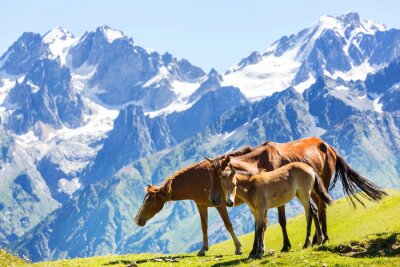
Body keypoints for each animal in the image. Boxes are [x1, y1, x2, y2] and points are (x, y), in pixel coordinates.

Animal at [209, 137, 388, 252]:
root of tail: (329, 147)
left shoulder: (274, 199)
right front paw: (255, 250)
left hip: (319, 186)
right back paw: (318, 239)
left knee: (320, 209)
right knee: (317, 209)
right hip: (311, 191)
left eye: (219, 177)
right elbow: (259, 224)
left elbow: (280, 221)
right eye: (211, 176)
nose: (215, 199)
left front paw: (284, 246)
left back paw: (320, 238)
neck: (260, 161)